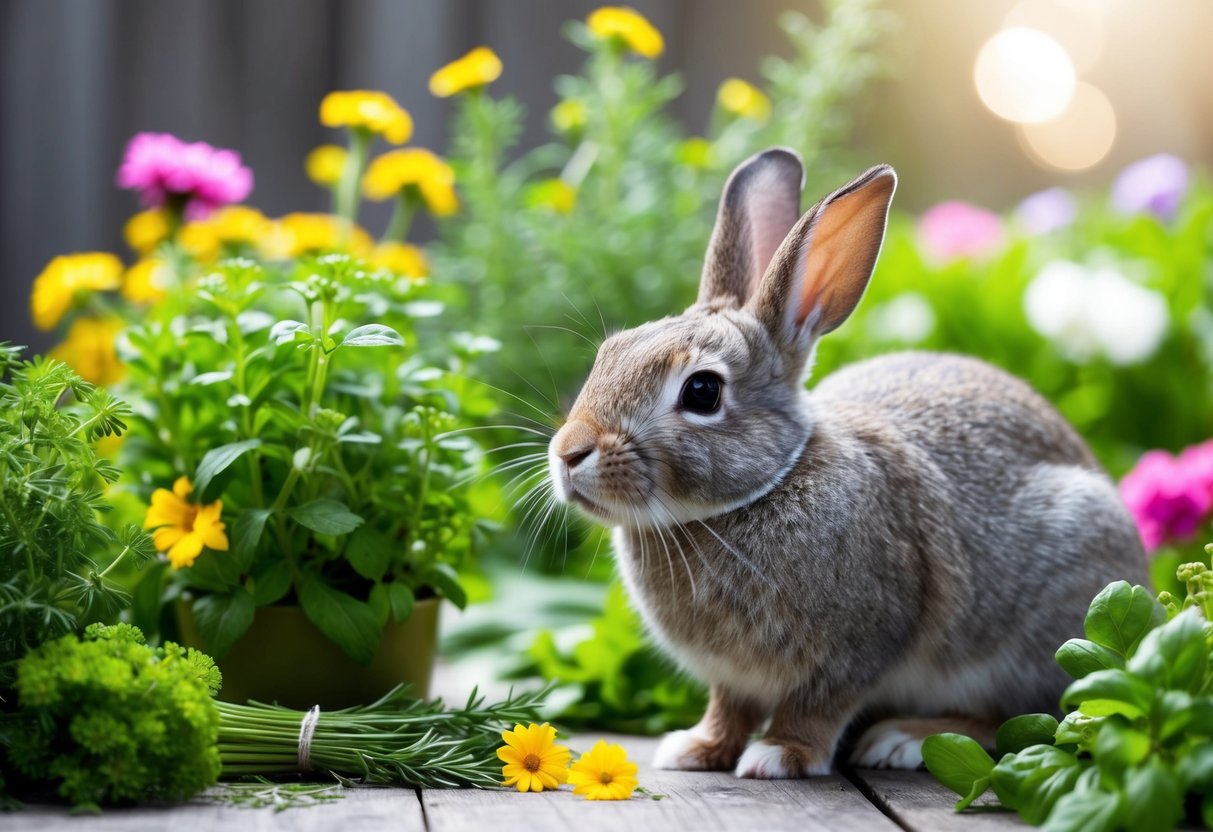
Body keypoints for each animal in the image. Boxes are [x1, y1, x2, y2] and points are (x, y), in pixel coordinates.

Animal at [546, 148, 1148, 779]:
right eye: (609, 354)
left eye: (703, 392)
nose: (568, 452)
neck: (766, 486)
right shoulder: (730, 679)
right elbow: (727, 708)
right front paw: (695, 749)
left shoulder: (861, 644)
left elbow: (818, 705)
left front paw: (779, 756)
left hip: (1041, 626)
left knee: (1023, 716)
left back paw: (902, 738)